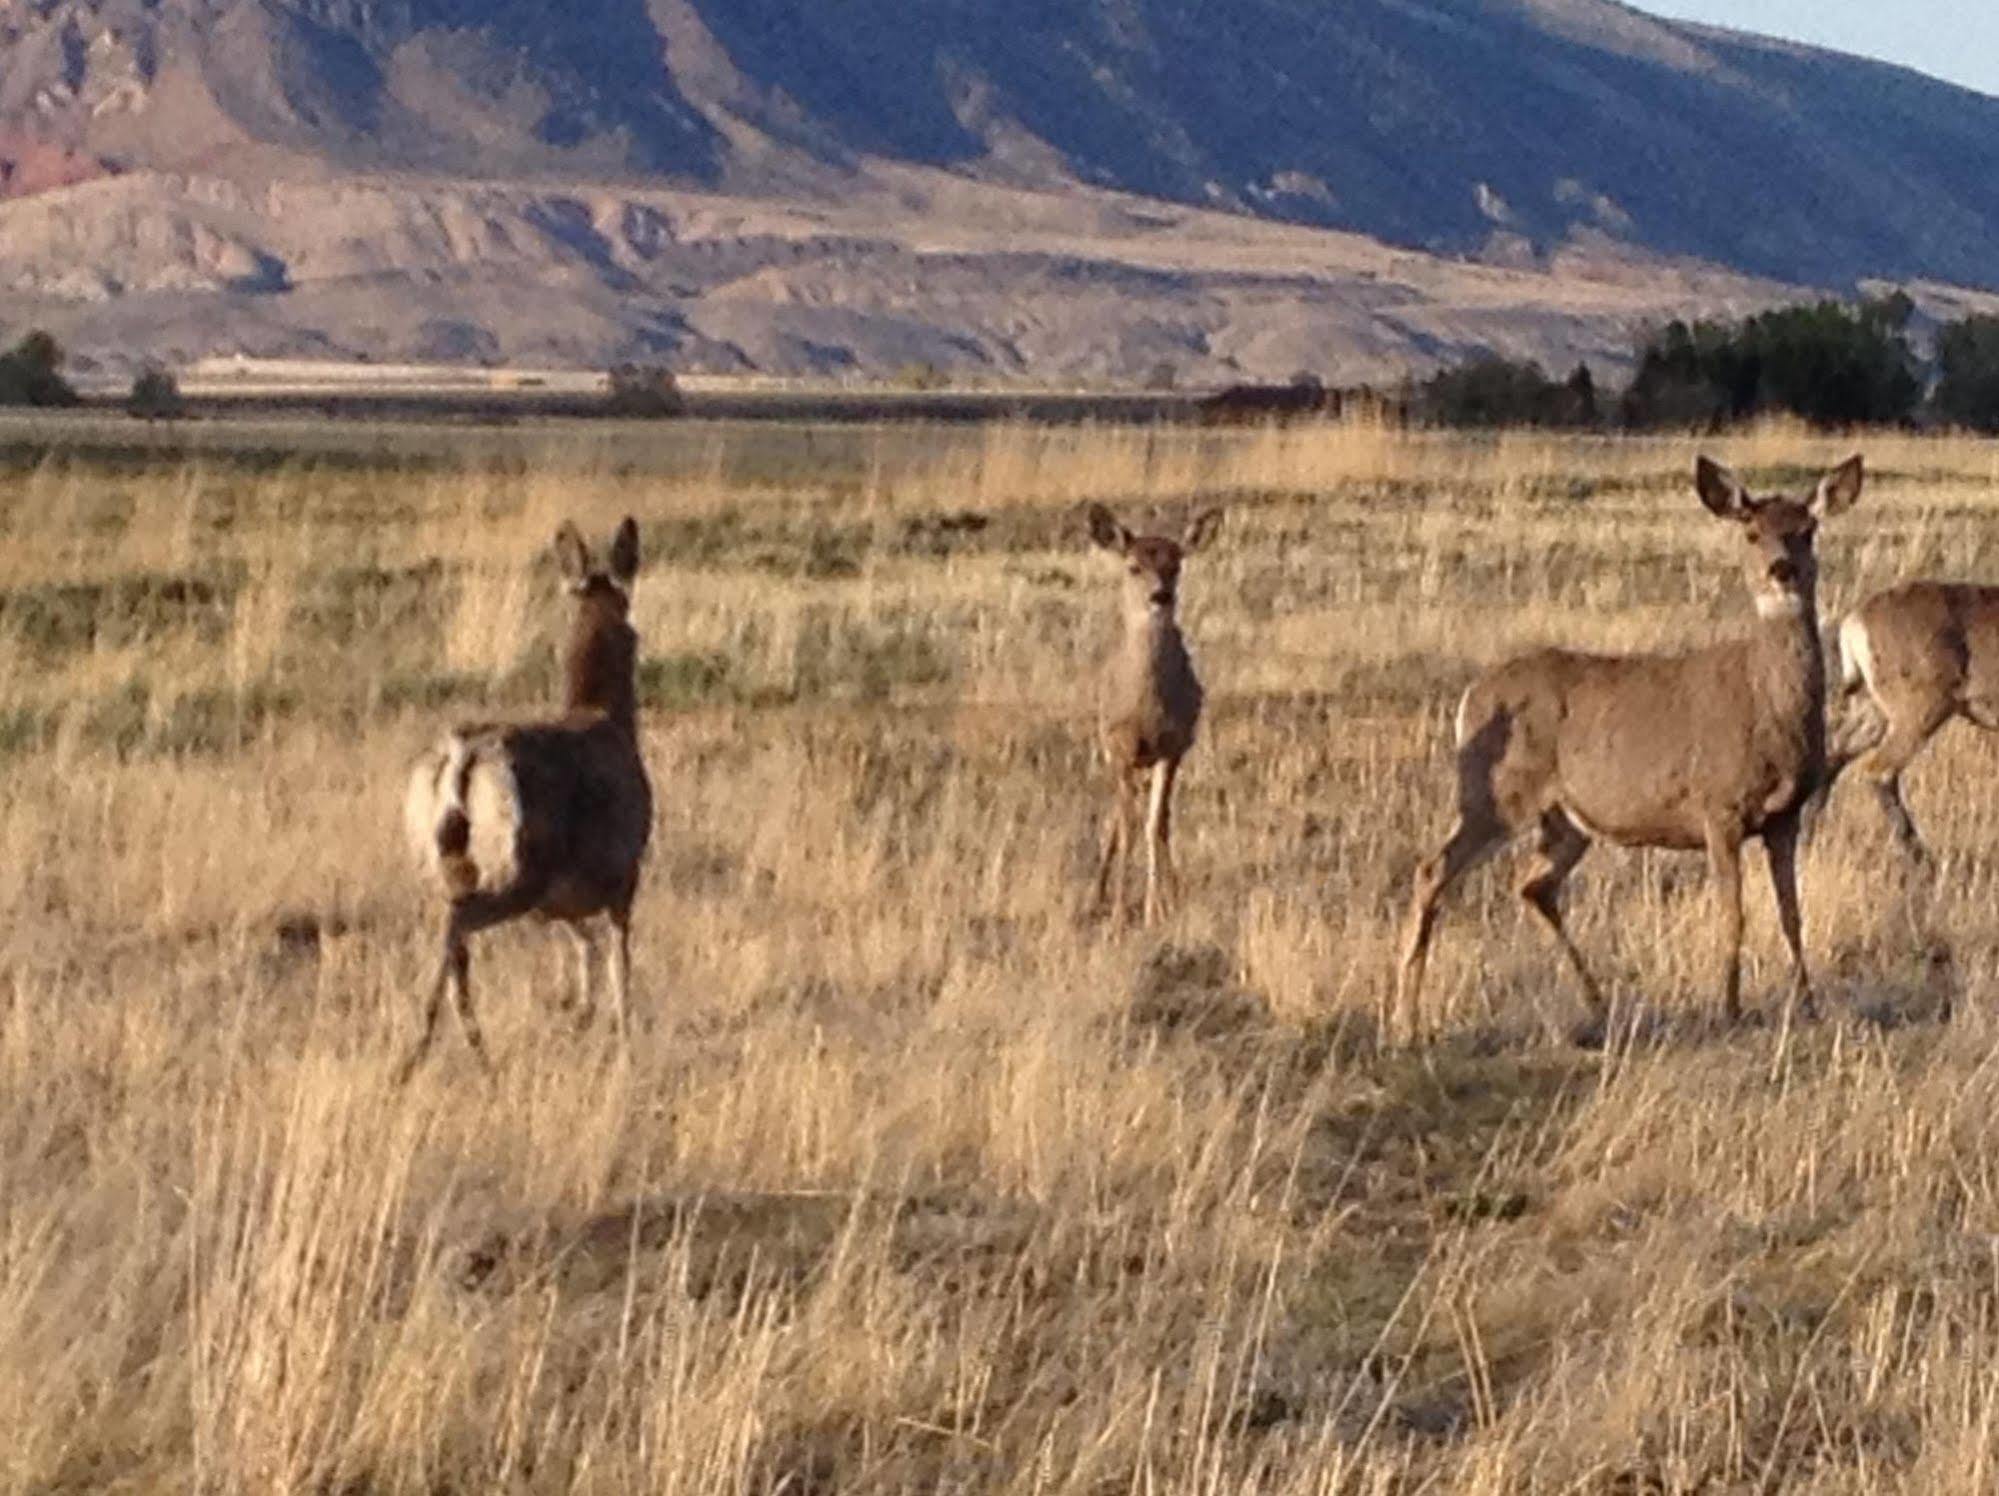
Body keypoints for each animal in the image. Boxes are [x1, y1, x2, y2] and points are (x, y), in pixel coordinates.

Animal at [397, 520, 655, 1080]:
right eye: (634, 629)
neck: (605, 717)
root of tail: (462, 753)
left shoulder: (563, 899)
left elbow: (582, 943)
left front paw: (576, 1013)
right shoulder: (625, 875)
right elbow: (619, 962)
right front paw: (625, 1045)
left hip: (438, 859)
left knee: (449, 935)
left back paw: (476, 1051)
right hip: (517, 868)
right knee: (455, 927)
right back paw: (421, 1050)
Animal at [1087, 502, 1223, 924]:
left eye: (1176, 565)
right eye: (1133, 566)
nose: (1159, 596)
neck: (1146, 709)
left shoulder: (1173, 746)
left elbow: (1155, 824)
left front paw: (1154, 908)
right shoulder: (1118, 745)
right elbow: (1128, 825)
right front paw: (1117, 910)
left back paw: (1171, 890)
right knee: (1116, 817)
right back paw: (1096, 894)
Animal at [1391, 452, 1855, 1040]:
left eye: (1808, 530)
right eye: (1751, 532)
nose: (1782, 570)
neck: (1768, 706)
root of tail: (1470, 697)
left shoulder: (1785, 816)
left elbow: (1792, 914)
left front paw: (1810, 1006)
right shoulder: (1718, 806)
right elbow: (1734, 911)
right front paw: (1729, 1009)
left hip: (1565, 820)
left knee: (1533, 886)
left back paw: (1597, 1003)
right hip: (1492, 793)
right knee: (1433, 870)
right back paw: (1405, 1020)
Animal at [1823, 584, 1999, 864]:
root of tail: (1855, 622)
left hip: (1874, 710)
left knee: (1833, 752)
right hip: (1920, 710)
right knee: (1879, 770)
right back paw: (1924, 861)